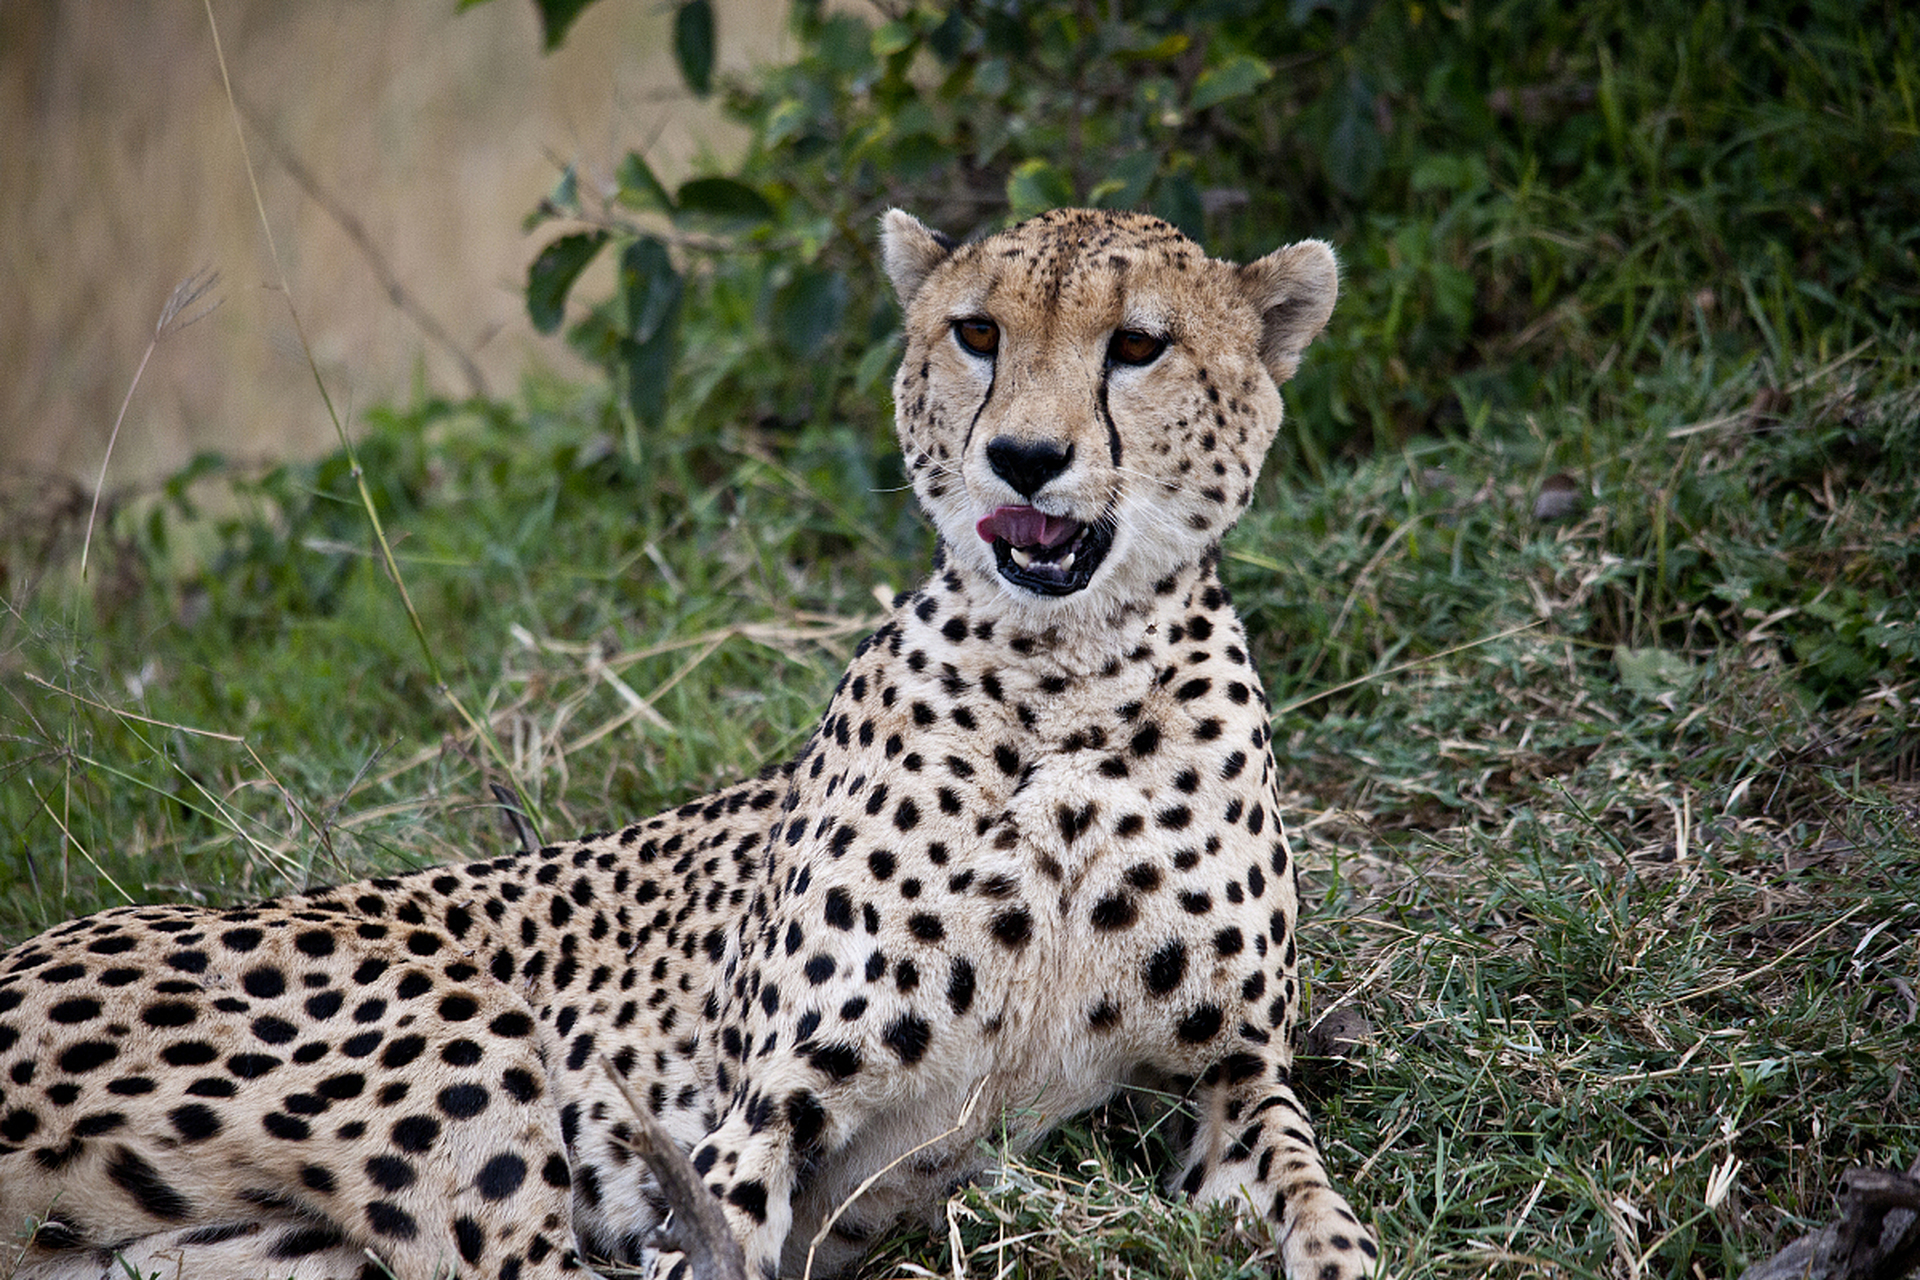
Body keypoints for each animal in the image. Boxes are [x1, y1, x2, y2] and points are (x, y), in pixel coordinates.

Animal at [3, 210, 1382, 1280]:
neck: (1068, 672)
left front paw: (1333, 1241)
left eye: (1137, 345)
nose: (1024, 459)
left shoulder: (1228, 1073)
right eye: (977, 334)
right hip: (450, 1031)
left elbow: (1313, 1188)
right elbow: (707, 1224)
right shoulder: (771, 1099)